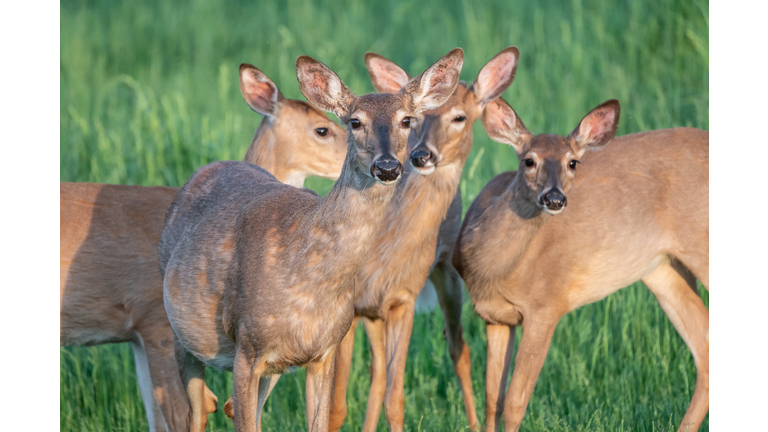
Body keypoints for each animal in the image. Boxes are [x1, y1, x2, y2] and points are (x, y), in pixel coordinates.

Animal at [156, 49, 462, 432]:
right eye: (355, 122)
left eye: (407, 120)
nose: (388, 167)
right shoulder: (247, 348)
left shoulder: (323, 352)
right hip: (182, 334)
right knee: (195, 414)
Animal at [326, 47, 520, 432]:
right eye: (415, 120)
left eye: (460, 117)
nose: (421, 156)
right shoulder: (353, 304)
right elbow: (337, 406)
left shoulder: (404, 298)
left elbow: (396, 400)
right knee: (378, 373)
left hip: (446, 272)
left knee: (459, 350)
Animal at [452, 98, 712, 432]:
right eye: (528, 161)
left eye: (573, 162)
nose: (554, 198)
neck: (490, 267)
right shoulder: (495, 317)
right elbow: (492, 401)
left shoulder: (545, 306)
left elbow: (514, 403)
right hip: (663, 269)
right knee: (705, 347)